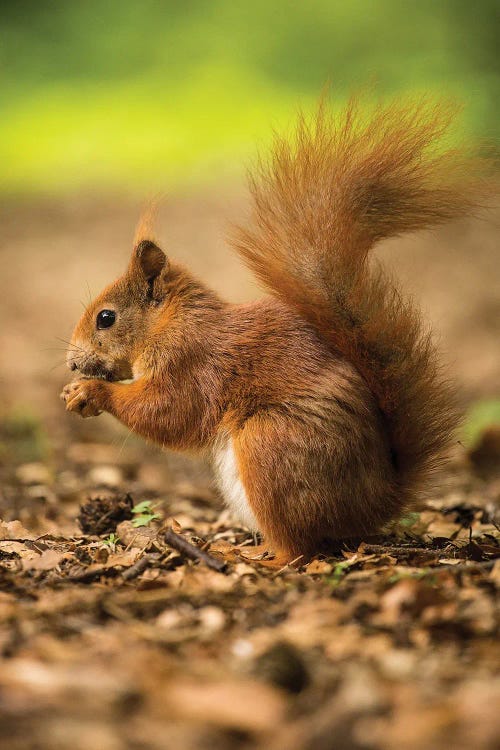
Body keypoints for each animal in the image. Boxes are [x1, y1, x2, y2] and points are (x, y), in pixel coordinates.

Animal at [61, 97, 492, 565]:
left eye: (106, 318)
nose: (71, 362)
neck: (170, 322)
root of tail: (373, 504)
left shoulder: (192, 361)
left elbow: (169, 412)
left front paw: (91, 392)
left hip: (271, 445)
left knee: (298, 548)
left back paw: (250, 556)